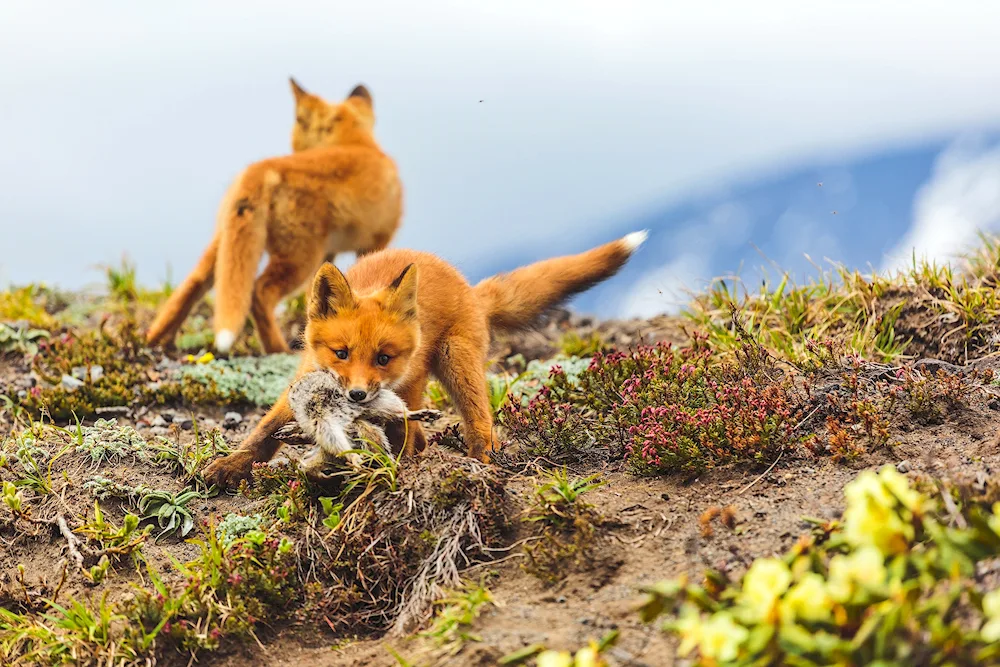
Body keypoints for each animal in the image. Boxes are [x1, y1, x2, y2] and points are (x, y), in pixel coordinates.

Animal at [145, 79, 402, 354]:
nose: (293, 147)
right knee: (259, 293)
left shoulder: (329, 254)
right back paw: (278, 349)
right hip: (299, 259)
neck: (356, 143)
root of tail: (261, 168)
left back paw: (157, 339)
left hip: (226, 247)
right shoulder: (376, 241)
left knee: (191, 285)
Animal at [207, 232, 652, 488]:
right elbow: (263, 433)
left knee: (478, 425)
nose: (356, 397)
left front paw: (391, 468)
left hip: (455, 365)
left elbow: (402, 435)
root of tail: (468, 286)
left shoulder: (405, 385)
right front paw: (230, 465)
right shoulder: (302, 383)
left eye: (383, 358)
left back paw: (479, 464)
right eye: (341, 353)